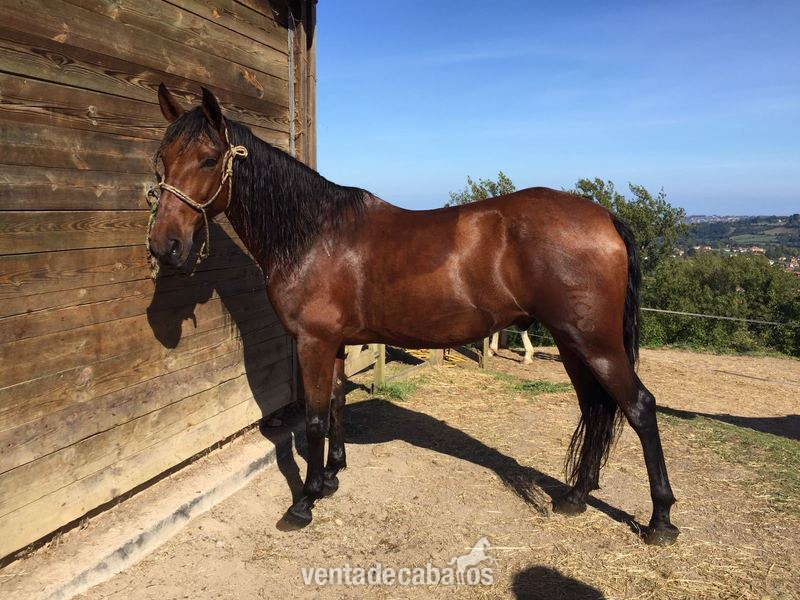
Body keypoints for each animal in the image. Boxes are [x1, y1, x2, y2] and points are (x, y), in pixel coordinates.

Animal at [147, 85, 679, 546]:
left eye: (209, 159)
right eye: (162, 159)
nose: (165, 245)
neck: (313, 234)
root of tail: (605, 217)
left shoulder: (313, 342)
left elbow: (315, 418)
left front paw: (304, 502)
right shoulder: (334, 344)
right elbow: (337, 405)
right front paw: (333, 477)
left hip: (596, 344)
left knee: (638, 407)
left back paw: (660, 519)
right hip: (573, 344)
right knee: (595, 407)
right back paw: (575, 496)